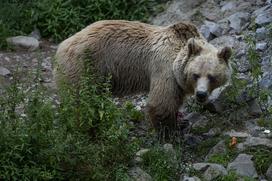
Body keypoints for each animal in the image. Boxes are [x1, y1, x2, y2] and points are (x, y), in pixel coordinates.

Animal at [54, 19, 232, 132]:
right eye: (195, 75)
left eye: (212, 76)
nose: (201, 94)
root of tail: (62, 44)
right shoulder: (165, 69)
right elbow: (161, 103)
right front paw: (170, 132)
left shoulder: (177, 81)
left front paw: (180, 121)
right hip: (85, 66)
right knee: (80, 101)